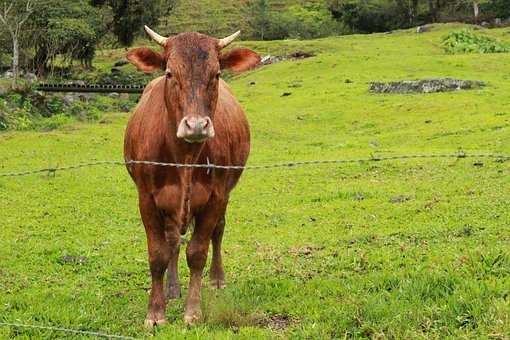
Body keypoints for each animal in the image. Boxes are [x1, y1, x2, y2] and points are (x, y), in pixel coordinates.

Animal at [122, 27, 258, 326]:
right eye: (170, 73)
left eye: (216, 74)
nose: (196, 126)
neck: (184, 156)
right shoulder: (146, 199)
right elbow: (158, 254)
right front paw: (156, 312)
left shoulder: (216, 197)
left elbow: (197, 252)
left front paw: (193, 311)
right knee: (173, 240)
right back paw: (172, 288)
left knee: (218, 231)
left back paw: (217, 279)